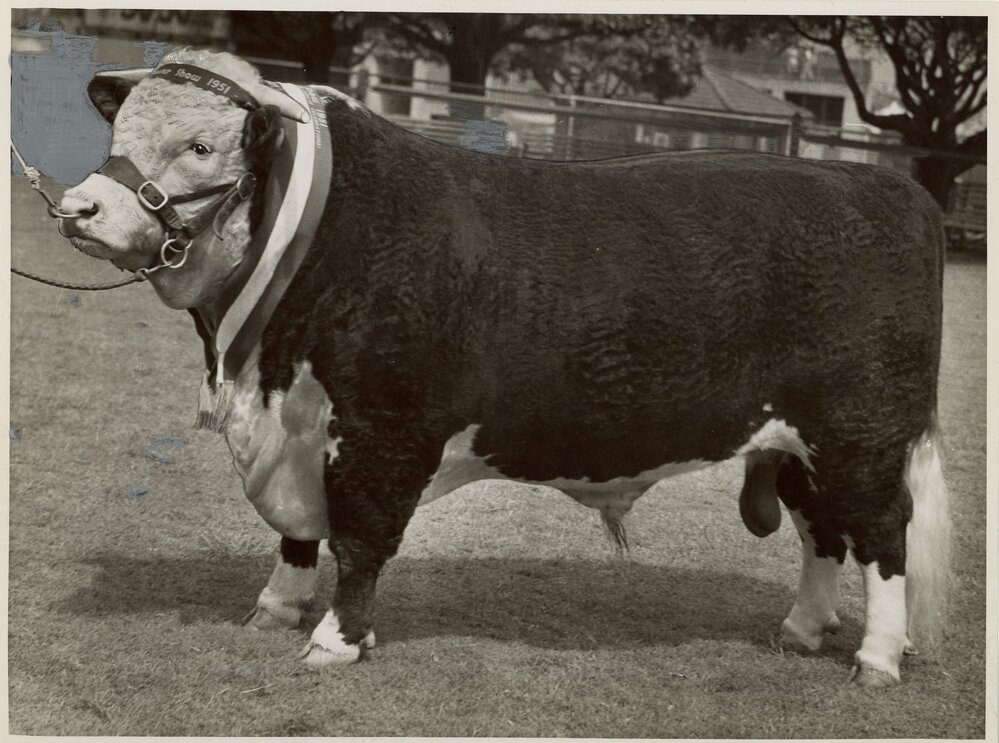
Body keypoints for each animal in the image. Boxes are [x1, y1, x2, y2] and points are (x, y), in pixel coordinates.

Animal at [57, 48, 949, 688]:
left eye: (200, 144)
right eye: (118, 137)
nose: (78, 209)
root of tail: (885, 185)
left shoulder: (383, 430)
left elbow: (359, 538)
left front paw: (335, 640)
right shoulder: (297, 429)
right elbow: (296, 532)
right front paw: (275, 607)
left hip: (860, 434)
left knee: (882, 535)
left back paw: (876, 659)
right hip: (799, 441)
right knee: (820, 527)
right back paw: (801, 629)